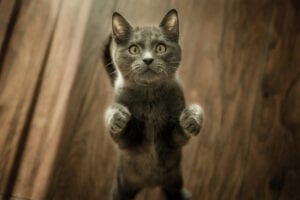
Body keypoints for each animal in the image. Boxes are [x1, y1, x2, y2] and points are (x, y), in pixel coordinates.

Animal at [103, 9, 204, 200]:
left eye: (160, 48)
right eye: (134, 49)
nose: (148, 60)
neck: (150, 98)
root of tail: (150, 184)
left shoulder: (173, 142)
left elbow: (182, 132)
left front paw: (192, 118)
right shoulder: (126, 145)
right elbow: (117, 129)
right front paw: (118, 117)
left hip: (174, 177)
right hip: (122, 183)